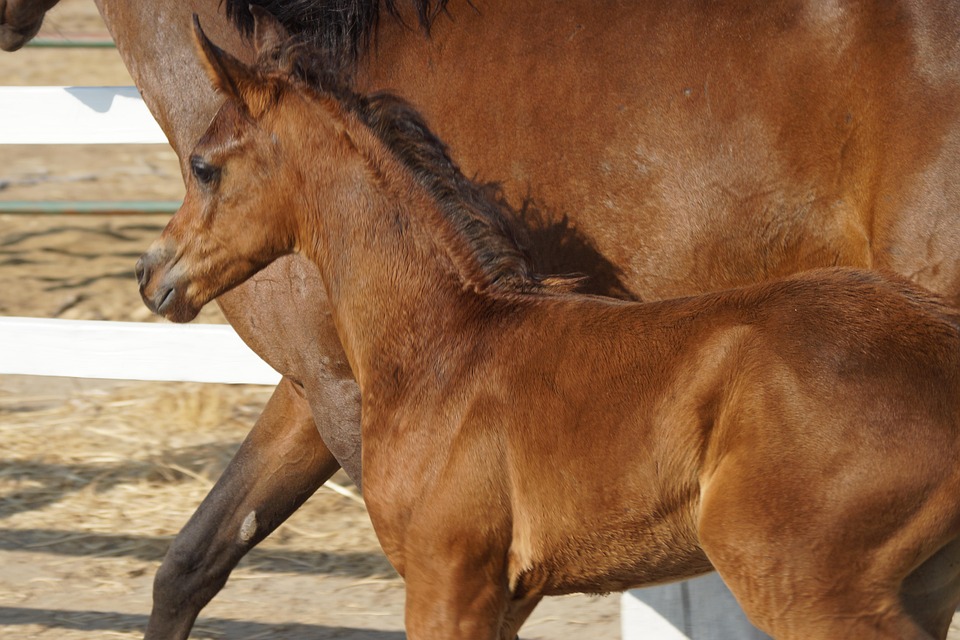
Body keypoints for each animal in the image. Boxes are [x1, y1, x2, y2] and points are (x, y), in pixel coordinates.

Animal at [7, 0, 960, 636]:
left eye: (204, 166)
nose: (151, 277)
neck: (449, 343)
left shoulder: (443, 574)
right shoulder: (499, 585)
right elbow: (191, 563)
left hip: (801, 577)